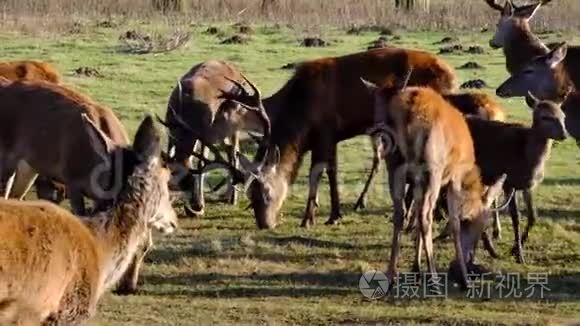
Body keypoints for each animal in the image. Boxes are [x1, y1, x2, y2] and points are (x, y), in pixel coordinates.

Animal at [231, 47, 458, 229]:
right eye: (251, 196)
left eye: (267, 192)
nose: (264, 224)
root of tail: (453, 77)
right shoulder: (330, 138)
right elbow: (332, 172)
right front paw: (333, 214)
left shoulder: (326, 132)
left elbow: (319, 172)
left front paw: (310, 218)